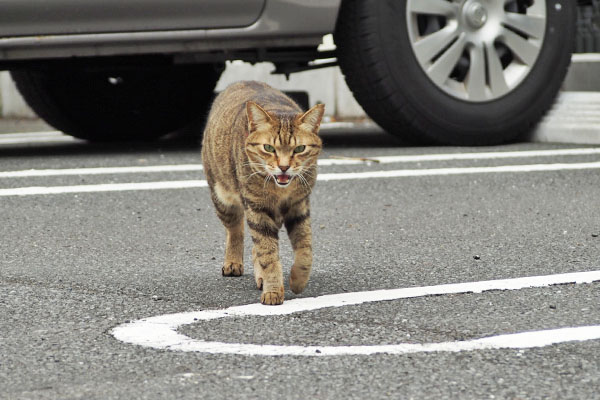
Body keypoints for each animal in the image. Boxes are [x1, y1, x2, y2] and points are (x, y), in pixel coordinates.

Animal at [200, 82, 324, 306]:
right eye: (268, 148)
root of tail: (238, 82)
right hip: (223, 198)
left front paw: (298, 280)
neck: (280, 191)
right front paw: (273, 290)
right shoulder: (257, 208)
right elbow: (268, 254)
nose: (283, 167)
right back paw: (233, 262)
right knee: (236, 231)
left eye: (299, 149)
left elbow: (305, 249)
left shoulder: (299, 207)